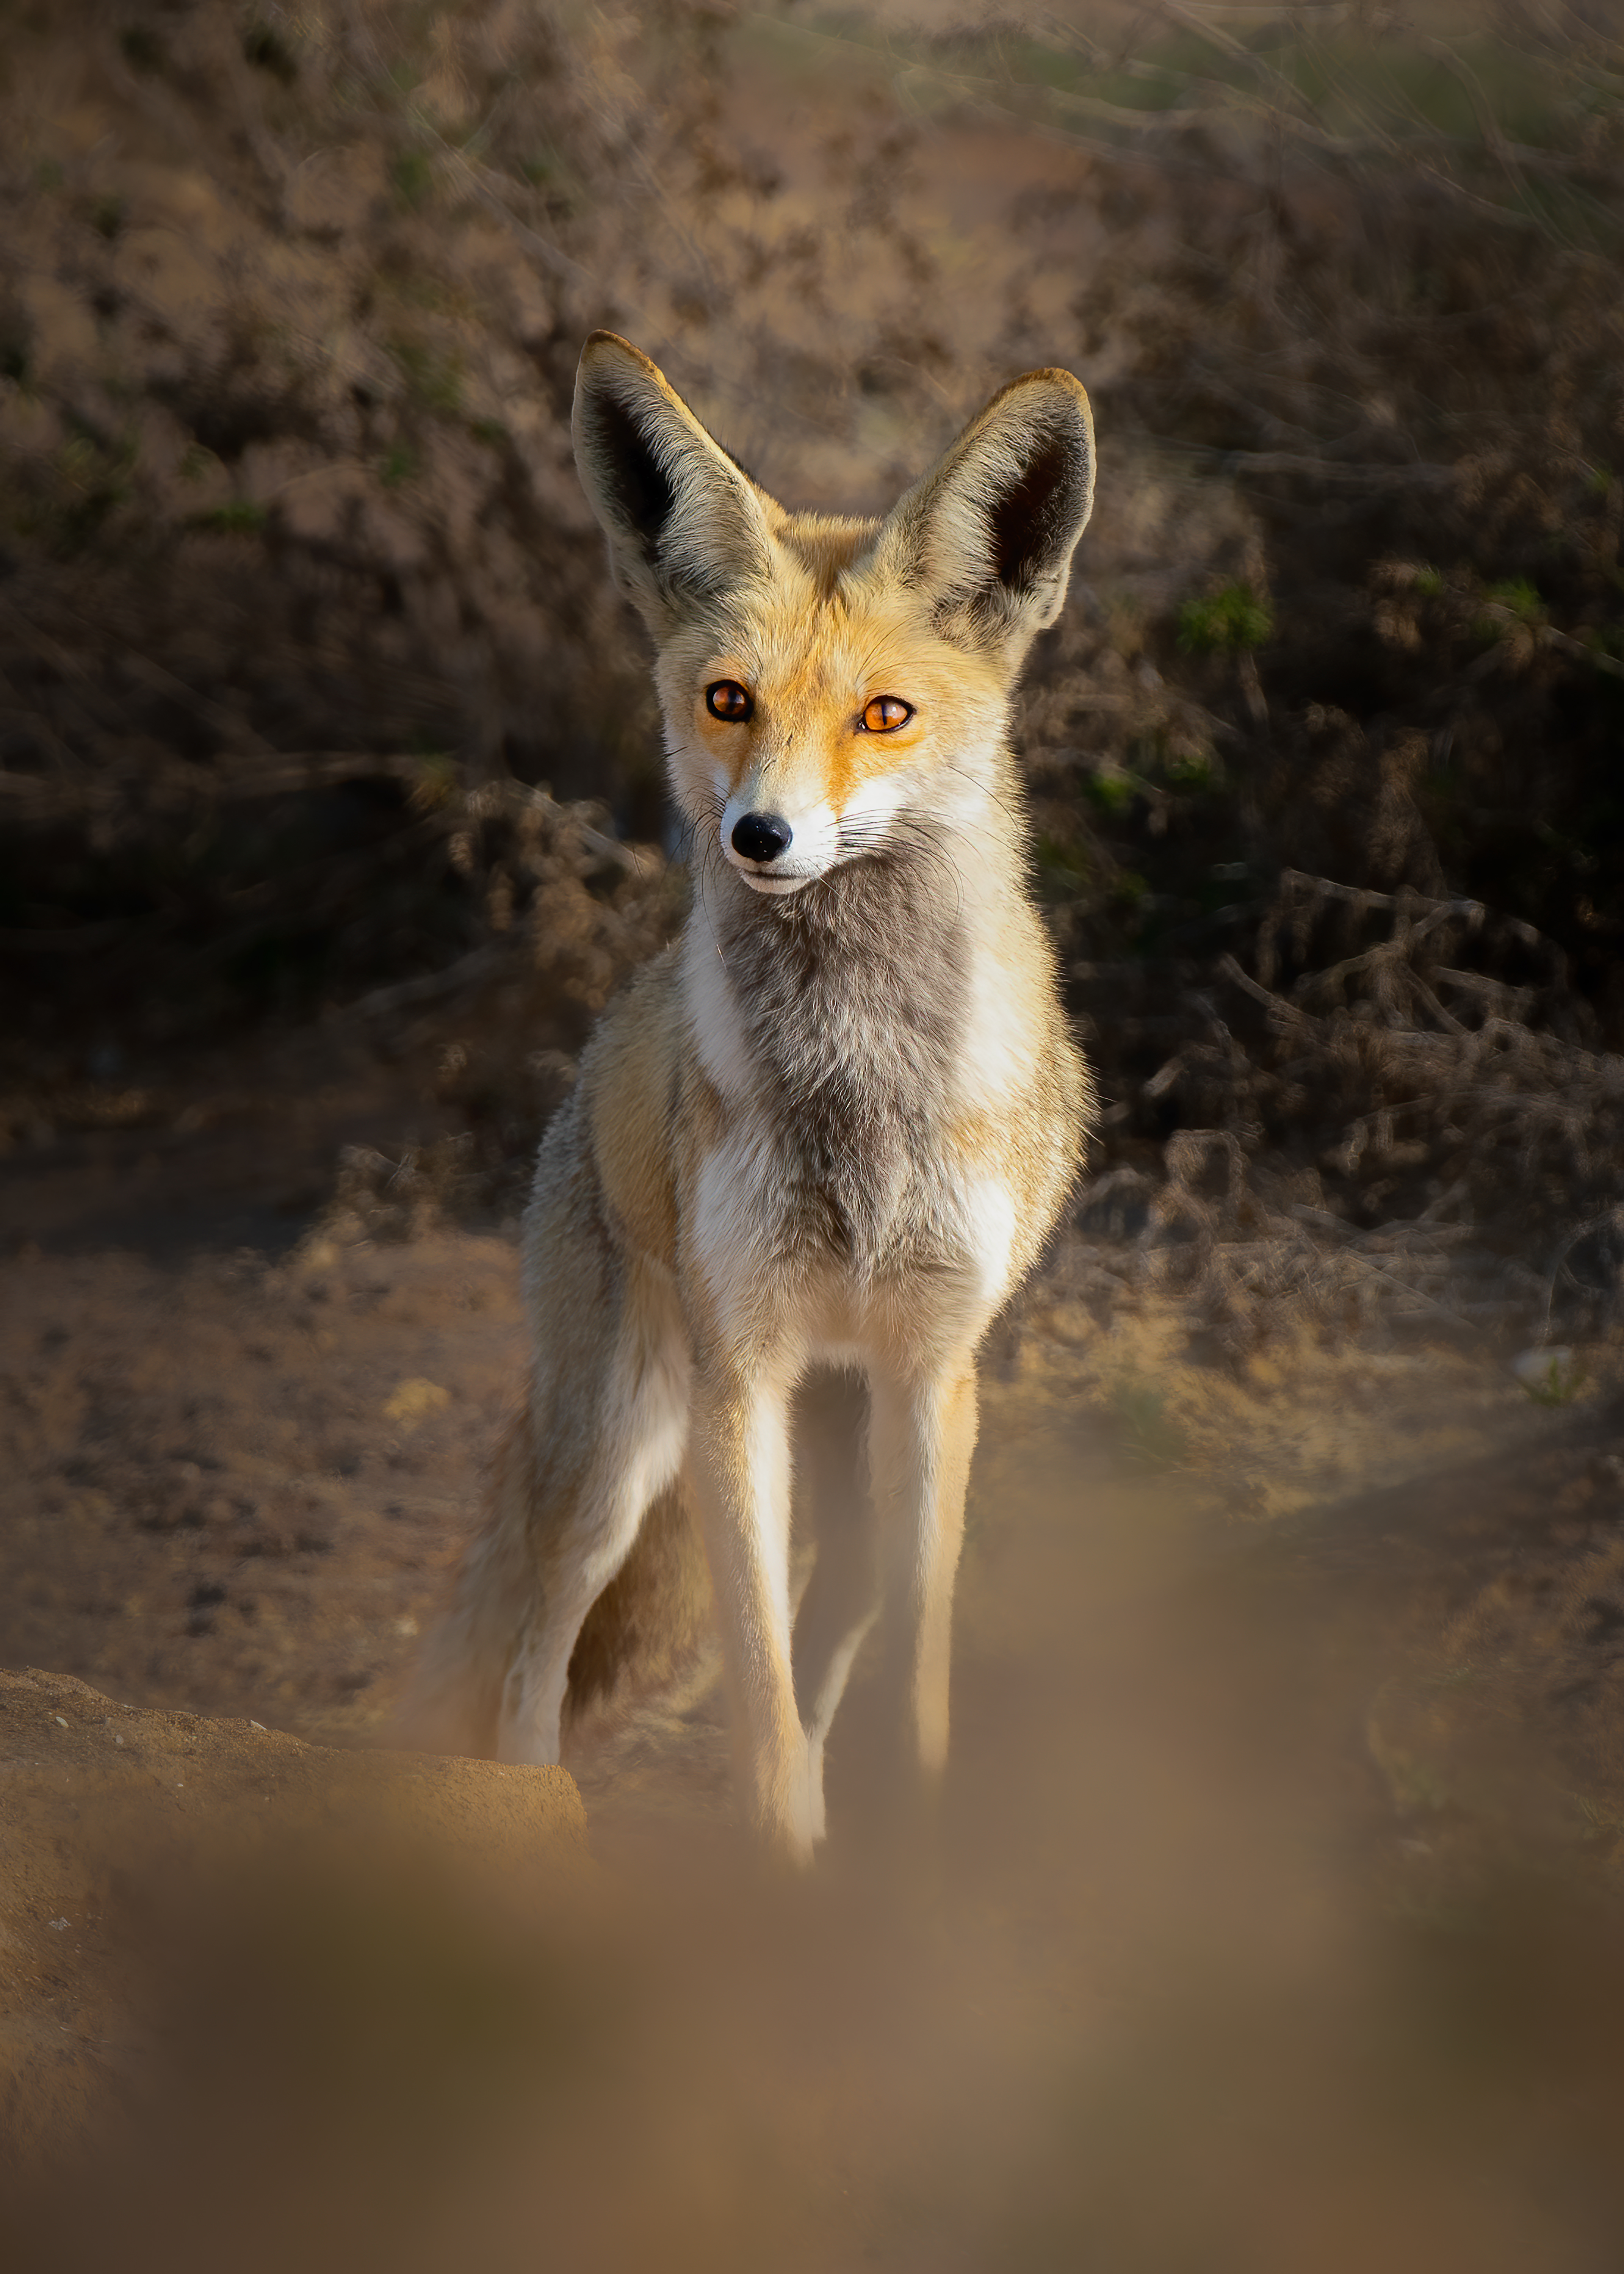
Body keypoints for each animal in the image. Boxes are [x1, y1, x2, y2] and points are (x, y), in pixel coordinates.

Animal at [404, 332, 1097, 1863]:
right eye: (728, 701)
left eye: (884, 716)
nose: (759, 837)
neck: (856, 1093)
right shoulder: (742, 1370)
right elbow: (760, 1709)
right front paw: (778, 1864)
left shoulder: (933, 1370)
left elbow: (907, 1689)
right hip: (618, 1446)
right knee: (532, 1650)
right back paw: (528, 1816)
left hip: (845, 1458)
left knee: (834, 1631)